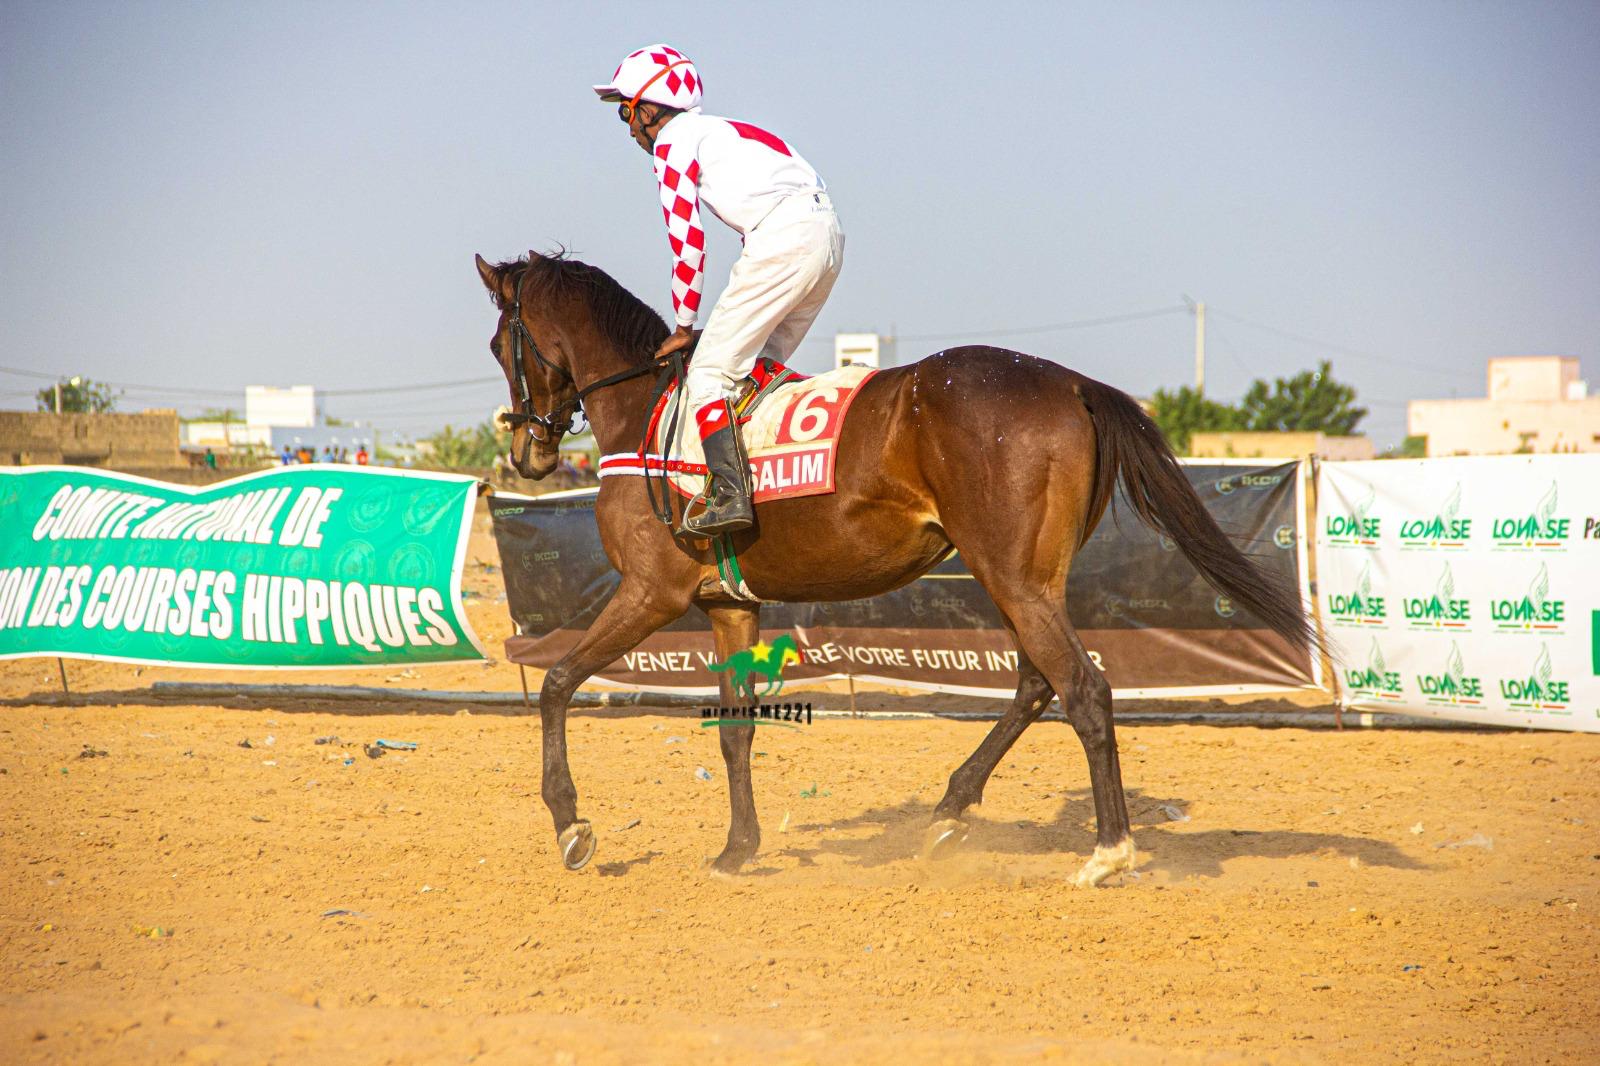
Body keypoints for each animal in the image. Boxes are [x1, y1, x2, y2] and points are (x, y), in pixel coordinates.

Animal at [474, 250, 1318, 887]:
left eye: (497, 344)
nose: (527, 452)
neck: (648, 416)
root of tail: (1071, 382)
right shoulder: (728, 606)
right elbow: (735, 730)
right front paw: (737, 850)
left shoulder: (650, 592)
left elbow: (555, 684)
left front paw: (571, 824)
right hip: (1021, 579)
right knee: (1038, 683)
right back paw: (947, 813)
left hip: (1011, 576)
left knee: (1082, 689)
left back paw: (1106, 851)